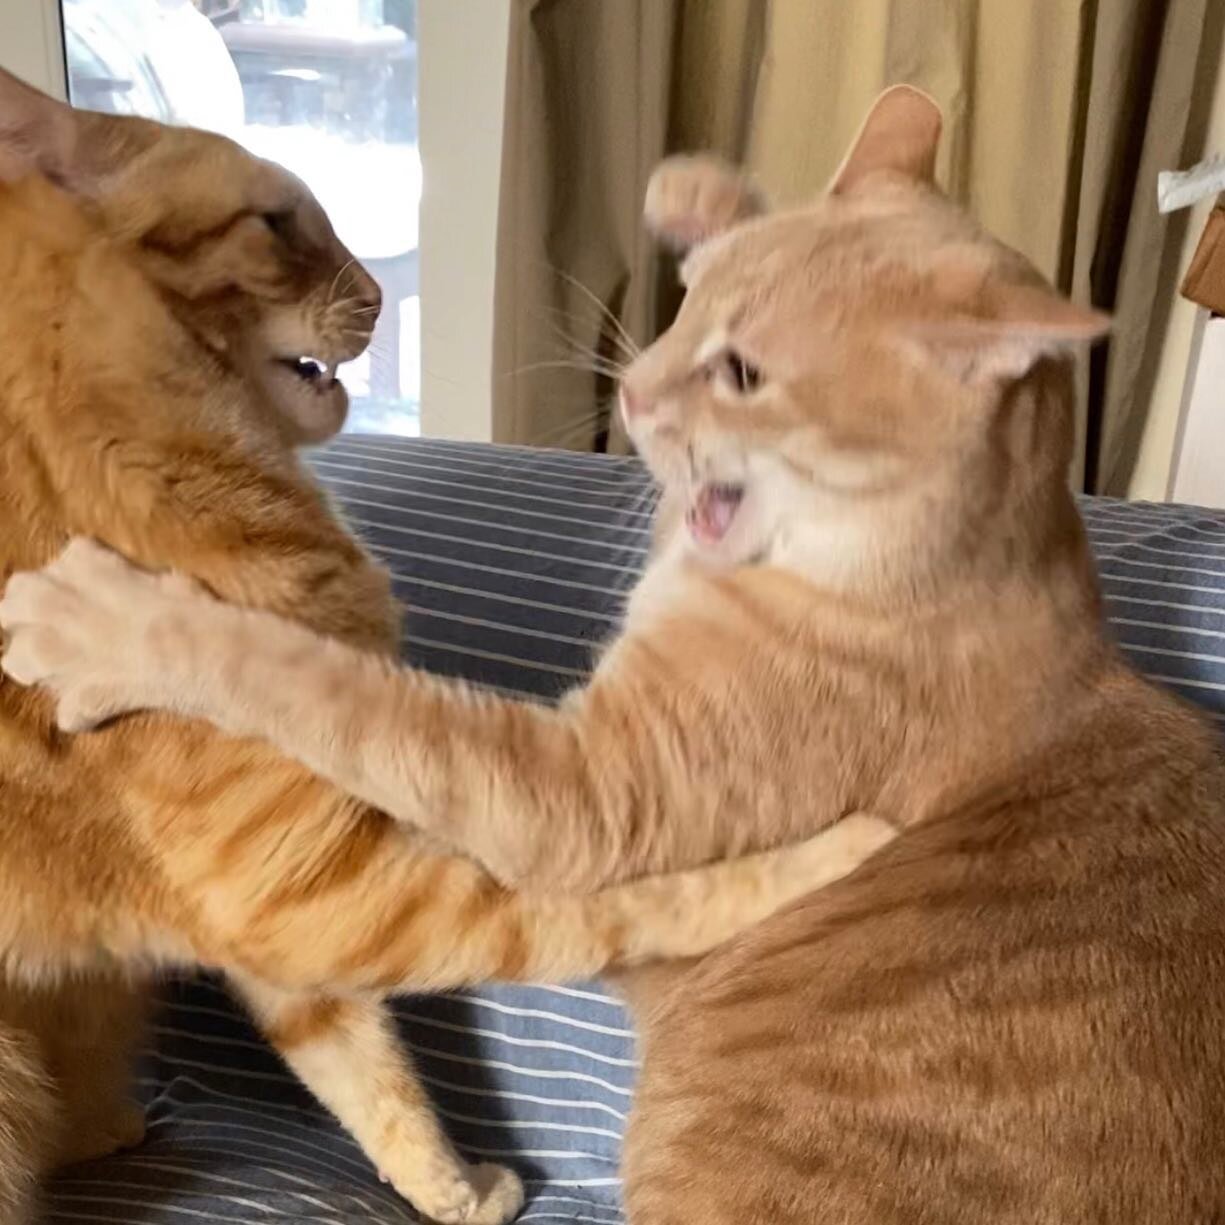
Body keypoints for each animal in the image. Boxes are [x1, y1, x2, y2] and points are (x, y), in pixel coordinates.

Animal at [16, 86, 1225, 1225]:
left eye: (740, 374)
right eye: (684, 312)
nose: (634, 389)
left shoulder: (573, 796)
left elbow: (324, 684)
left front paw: (102, 621)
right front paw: (697, 191)